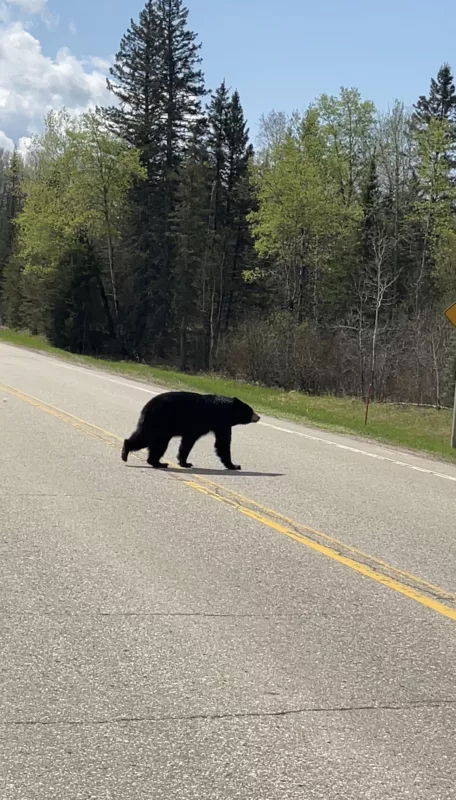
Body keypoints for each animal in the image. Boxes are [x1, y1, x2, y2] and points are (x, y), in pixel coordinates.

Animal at [121, 392, 260, 472]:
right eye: (251, 410)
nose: (258, 417)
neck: (227, 409)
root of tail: (146, 407)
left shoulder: (197, 429)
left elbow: (187, 443)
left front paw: (185, 462)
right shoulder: (221, 423)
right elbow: (223, 444)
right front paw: (234, 465)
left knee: (156, 444)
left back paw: (157, 462)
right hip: (158, 422)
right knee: (148, 438)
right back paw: (127, 452)